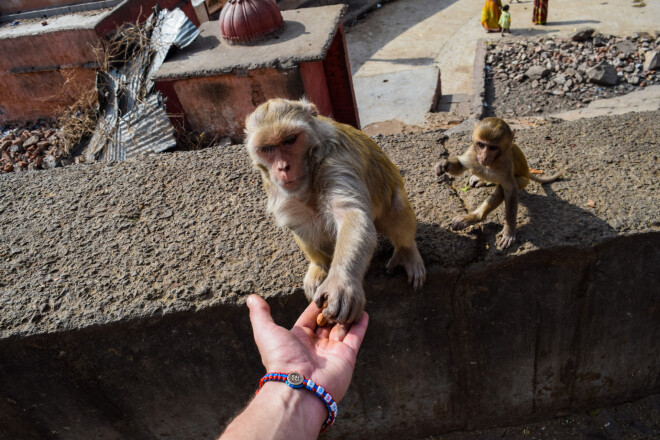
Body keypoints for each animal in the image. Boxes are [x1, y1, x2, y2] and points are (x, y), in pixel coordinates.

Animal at [245, 98, 426, 324]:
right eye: (268, 148)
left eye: (290, 140)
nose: (283, 167)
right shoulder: (275, 186)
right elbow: (300, 222)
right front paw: (321, 267)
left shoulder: (337, 161)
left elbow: (351, 213)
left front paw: (341, 283)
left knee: (397, 208)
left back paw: (406, 251)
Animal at [434, 117, 564, 248]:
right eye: (481, 145)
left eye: (492, 148)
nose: (484, 156)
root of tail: (528, 173)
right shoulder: (472, 153)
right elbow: (461, 166)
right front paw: (444, 164)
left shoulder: (505, 165)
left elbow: (510, 190)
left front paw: (509, 231)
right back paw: (480, 181)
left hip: (523, 181)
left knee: (503, 187)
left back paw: (476, 216)